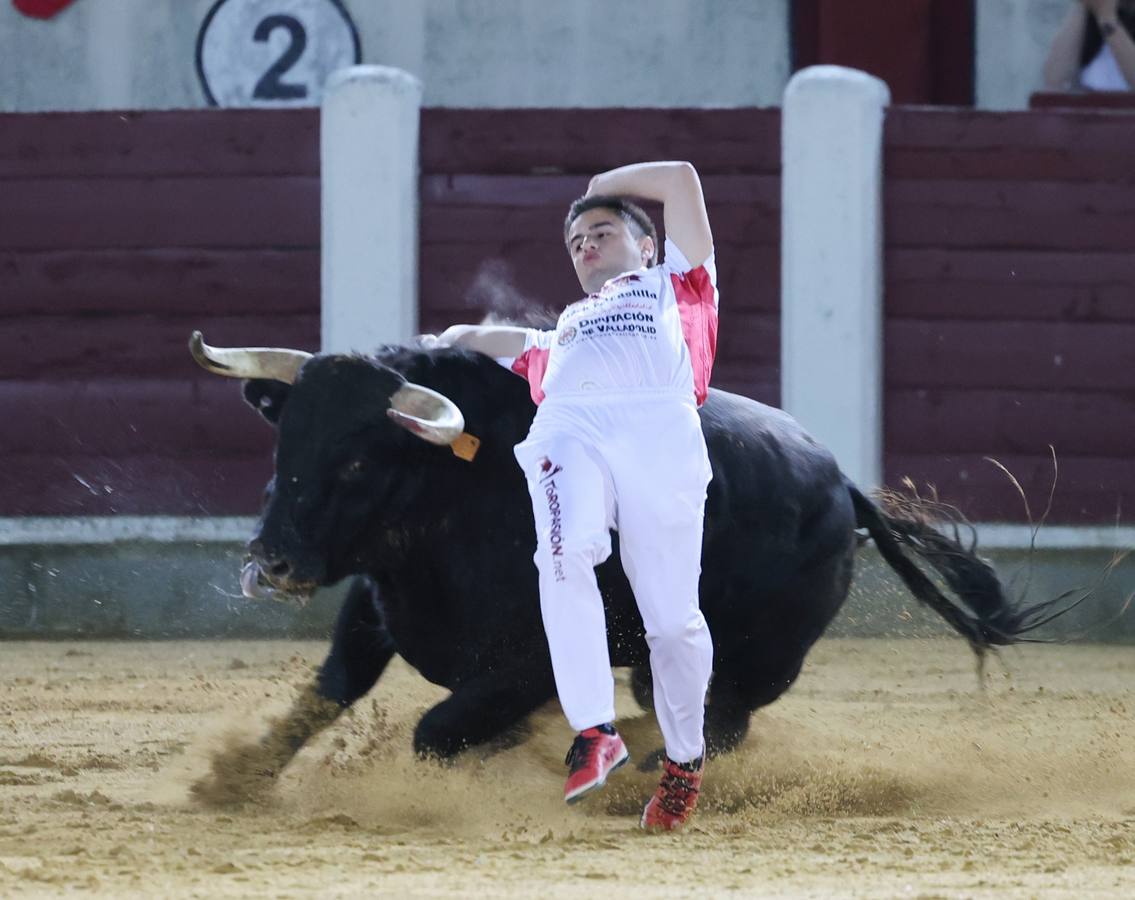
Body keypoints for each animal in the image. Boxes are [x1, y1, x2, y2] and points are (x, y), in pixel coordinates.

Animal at [186, 333, 1062, 803]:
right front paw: (230, 786)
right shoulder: (374, 610)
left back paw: (641, 771)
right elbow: (323, 696)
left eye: (360, 460)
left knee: (723, 726)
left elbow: (433, 731)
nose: (271, 562)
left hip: (755, 660)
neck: (455, 489)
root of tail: (841, 482)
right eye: (285, 439)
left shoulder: (530, 663)